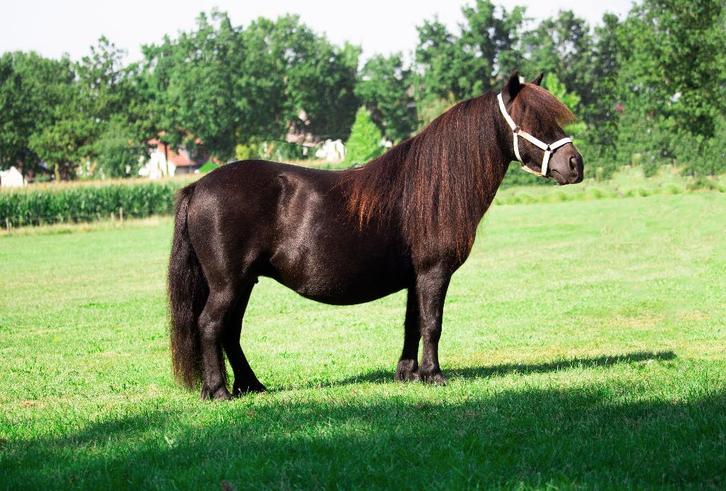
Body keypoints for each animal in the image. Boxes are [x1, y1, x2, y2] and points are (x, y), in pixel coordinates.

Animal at [168, 71, 584, 400]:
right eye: (531, 119)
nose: (575, 164)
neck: (430, 187)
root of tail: (198, 186)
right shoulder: (434, 272)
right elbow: (432, 323)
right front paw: (434, 375)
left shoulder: (417, 277)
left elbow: (413, 323)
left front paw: (408, 374)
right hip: (229, 282)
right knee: (211, 326)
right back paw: (219, 391)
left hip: (244, 281)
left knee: (231, 331)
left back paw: (251, 385)